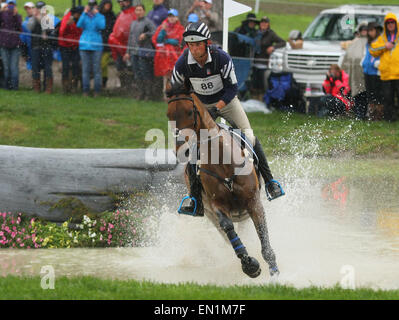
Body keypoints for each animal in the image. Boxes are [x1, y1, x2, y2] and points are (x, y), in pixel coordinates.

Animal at [166, 85, 278, 278]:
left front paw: (274, 269)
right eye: (168, 115)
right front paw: (250, 265)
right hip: (209, 213)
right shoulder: (217, 205)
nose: (182, 150)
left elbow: (263, 233)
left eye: (190, 112)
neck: (223, 162)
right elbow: (228, 228)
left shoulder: (253, 201)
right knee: (226, 234)